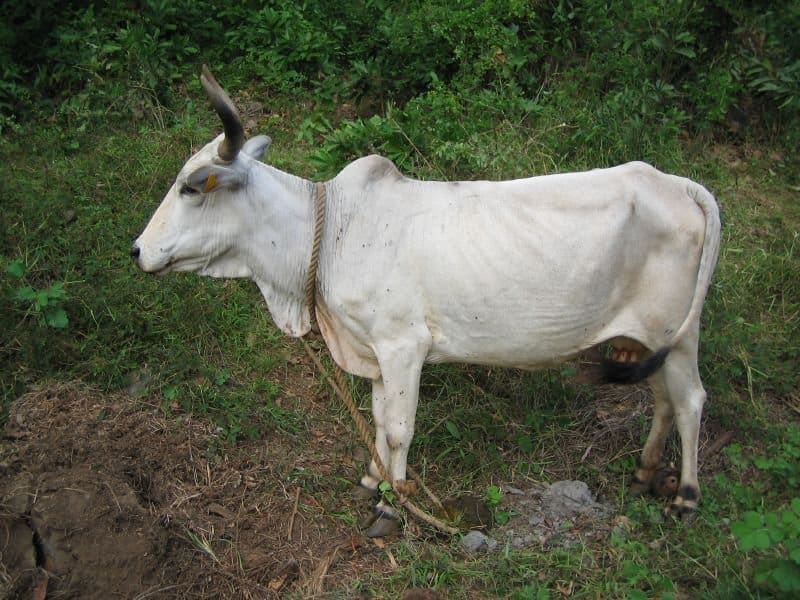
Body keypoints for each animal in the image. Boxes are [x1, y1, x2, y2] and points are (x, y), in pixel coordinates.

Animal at [131, 68, 720, 536]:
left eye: (191, 187)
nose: (137, 250)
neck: (333, 230)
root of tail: (674, 183)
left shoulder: (402, 346)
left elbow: (398, 428)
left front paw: (394, 505)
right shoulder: (371, 351)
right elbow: (376, 417)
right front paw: (373, 479)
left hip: (676, 334)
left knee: (691, 400)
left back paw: (686, 498)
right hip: (643, 337)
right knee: (663, 399)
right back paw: (645, 472)